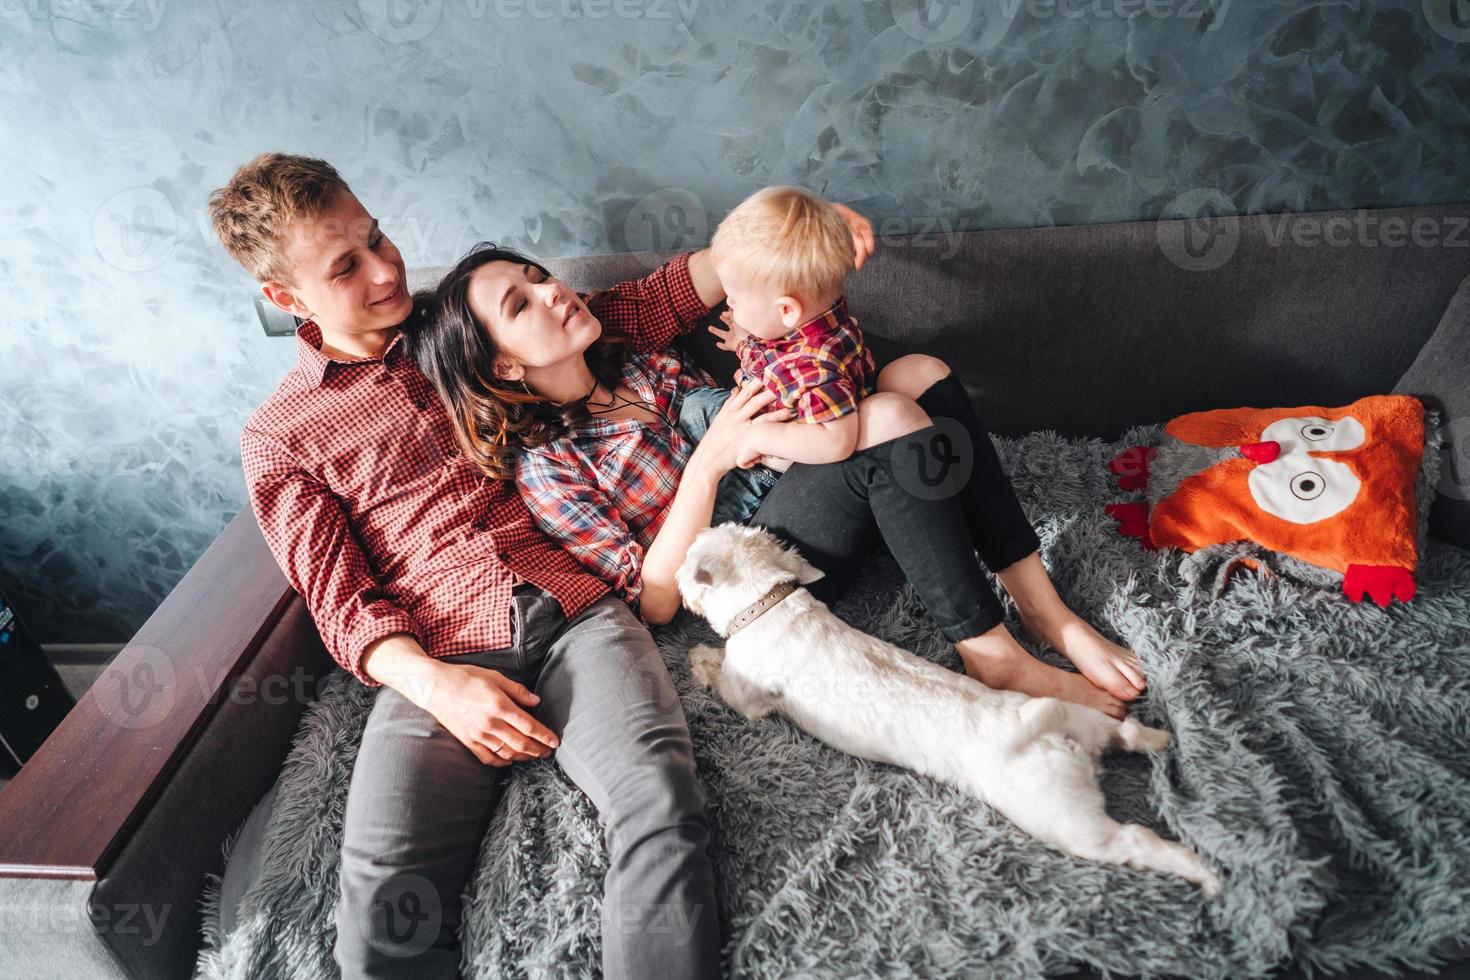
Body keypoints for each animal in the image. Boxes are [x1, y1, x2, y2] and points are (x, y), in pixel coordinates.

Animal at [673, 528, 1217, 899]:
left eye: (689, 555)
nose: (674, 575)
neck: (768, 603)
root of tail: (1047, 733)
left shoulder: (746, 696)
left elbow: (720, 675)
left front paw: (697, 657)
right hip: (1084, 720)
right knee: (1122, 731)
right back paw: (1158, 739)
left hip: (1064, 818)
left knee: (1132, 841)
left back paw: (1203, 873)